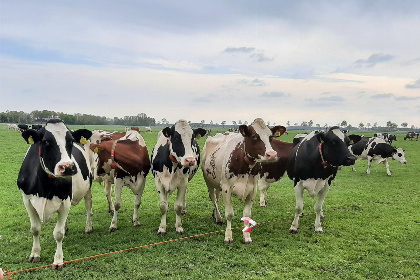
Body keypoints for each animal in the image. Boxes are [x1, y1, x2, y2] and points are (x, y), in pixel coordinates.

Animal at [17, 118, 92, 270]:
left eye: (71, 141)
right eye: (46, 141)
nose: (68, 167)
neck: (45, 187)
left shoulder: (66, 200)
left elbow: (58, 233)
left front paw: (58, 260)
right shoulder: (27, 200)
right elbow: (35, 229)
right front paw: (35, 254)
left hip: (88, 188)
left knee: (88, 208)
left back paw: (88, 228)